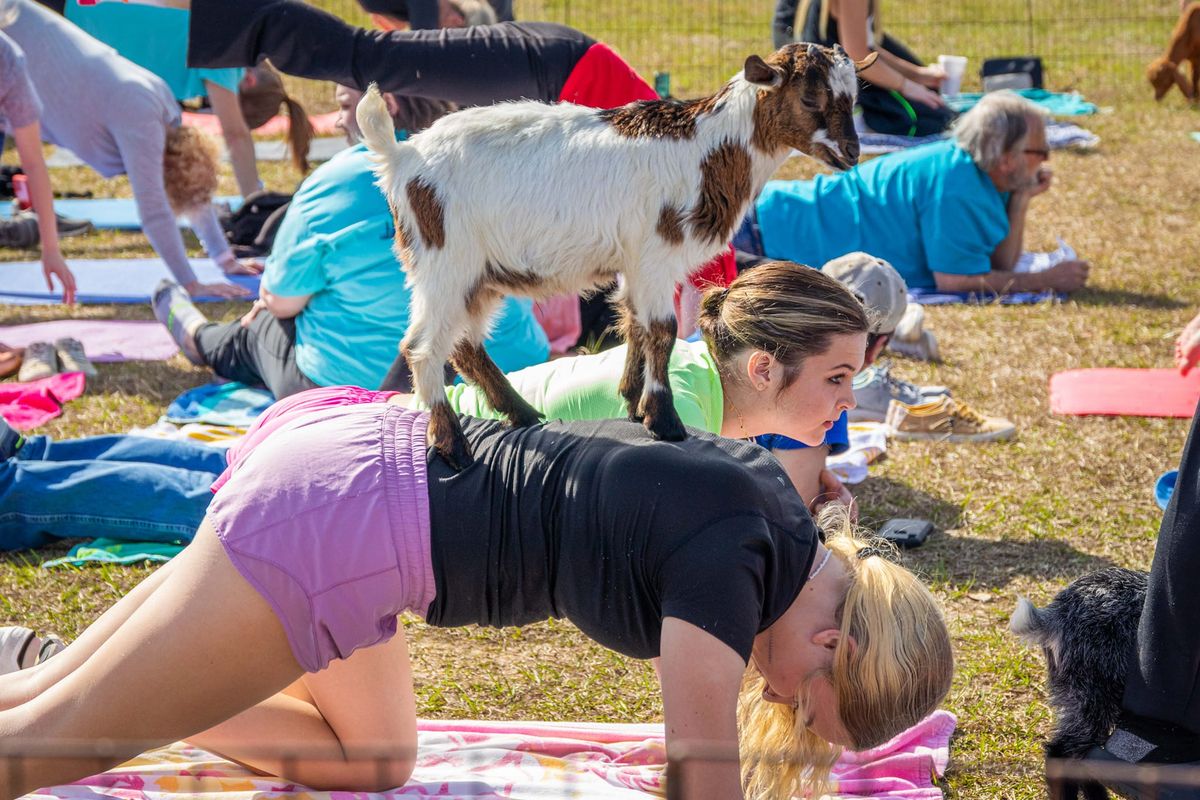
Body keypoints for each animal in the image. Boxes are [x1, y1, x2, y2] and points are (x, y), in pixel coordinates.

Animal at [355, 43, 873, 465]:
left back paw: (524, 414)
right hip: (444, 260)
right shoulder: (656, 253)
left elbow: (634, 322)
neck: (707, 149)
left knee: (463, 344)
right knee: (422, 347)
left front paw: (630, 401)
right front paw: (664, 420)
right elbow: (662, 330)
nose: (851, 153)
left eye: (854, 99)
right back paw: (451, 443)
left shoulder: (635, 261)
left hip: (478, 274)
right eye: (811, 98)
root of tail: (402, 158)